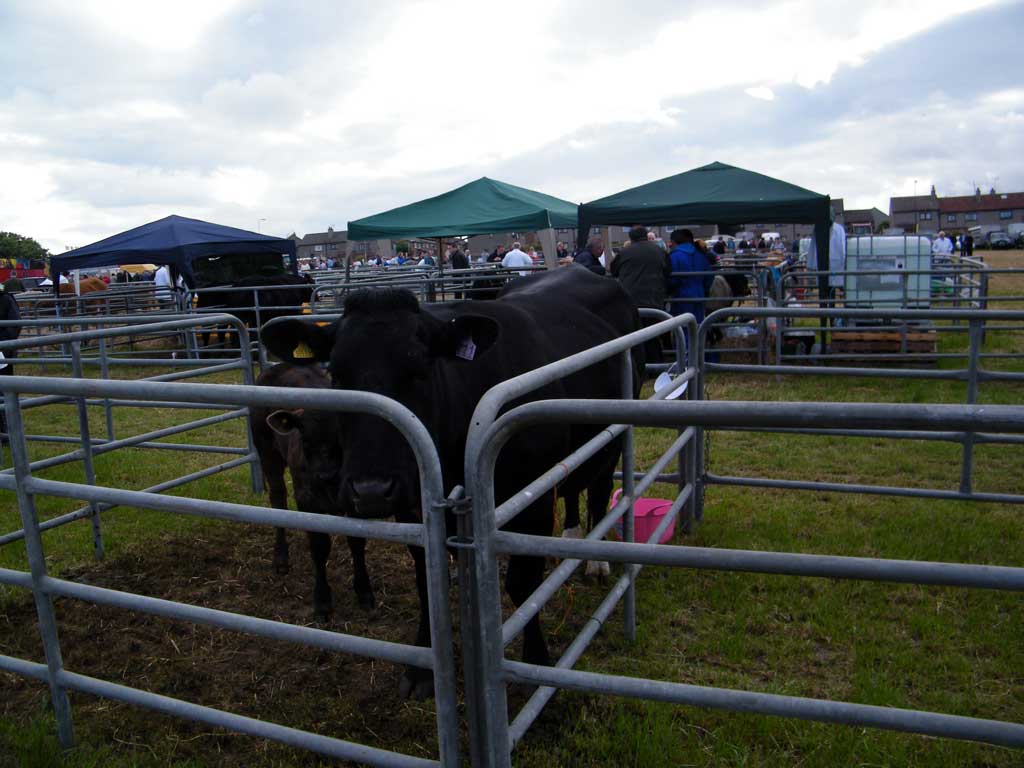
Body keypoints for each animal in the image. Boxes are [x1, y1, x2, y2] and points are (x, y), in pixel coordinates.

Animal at [247, 364, 376, 622]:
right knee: (278, 499)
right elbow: (319, 546)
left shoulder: (355, 498)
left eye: (341, 434)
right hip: (268, 454)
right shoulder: (307, 499)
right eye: (304, 437)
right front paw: (322, 601)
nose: (324, 474)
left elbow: (357, 542)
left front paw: (363, 590)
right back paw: (281, 558)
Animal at [264, 266, 638, 704]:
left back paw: (595, 561)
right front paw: (423, 669)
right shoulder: (414, 504)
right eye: (336, 375)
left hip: (612, 435)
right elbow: (427, 582)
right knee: (575, 485)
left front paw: (536, 665)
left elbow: (523, 584)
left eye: (420, 370)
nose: (370, 490)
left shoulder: (532, 499)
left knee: (597, 489)